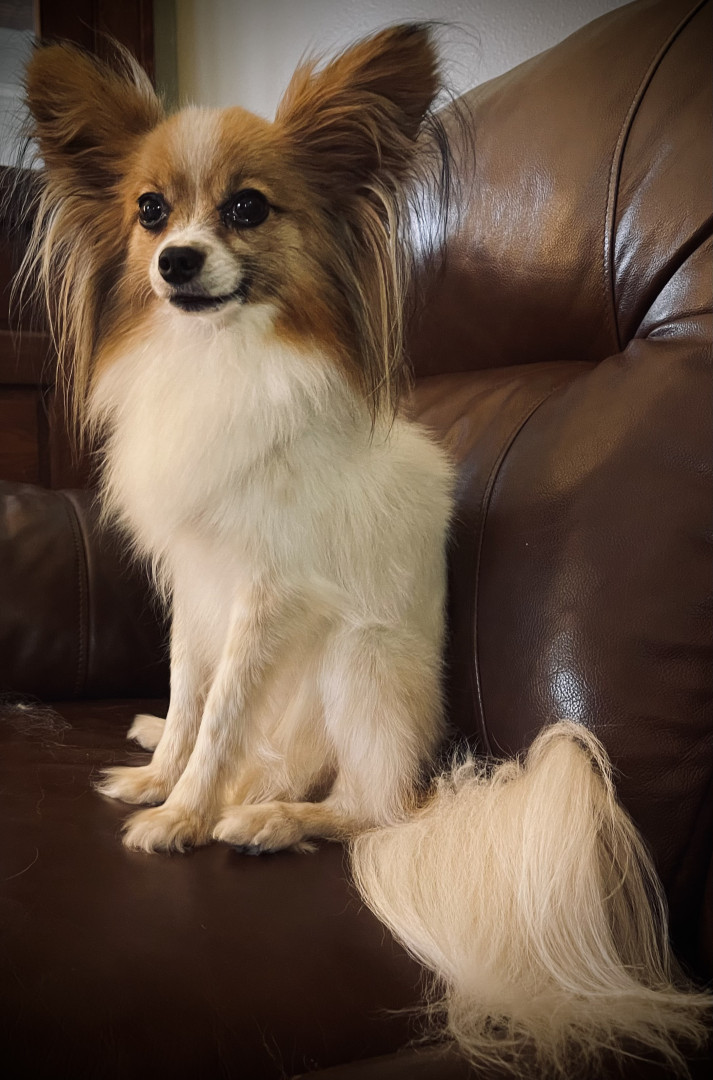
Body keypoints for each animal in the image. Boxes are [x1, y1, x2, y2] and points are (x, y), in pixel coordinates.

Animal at [20, 26, 710, 1076]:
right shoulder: (197, 587)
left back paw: (266, 820)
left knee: (372, 807)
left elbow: (220, 717)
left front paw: (181, 818)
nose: (175, 261)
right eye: (148, 212)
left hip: (358, 665)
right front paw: (161, 775)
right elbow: (190, 701)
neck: (217, 360)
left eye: (246, 208)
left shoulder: (265, 595)